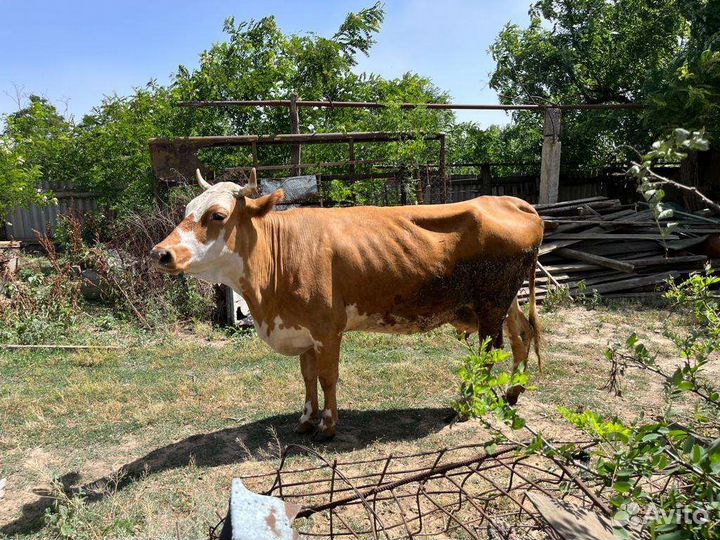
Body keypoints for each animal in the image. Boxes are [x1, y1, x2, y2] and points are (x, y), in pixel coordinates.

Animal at [151, 169, 544, 441]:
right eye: (187, 209)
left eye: (217, 215)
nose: (160, 253)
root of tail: (509, 201)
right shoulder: (303, 330)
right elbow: (308, 377)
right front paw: (306, 420)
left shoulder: (328, 329)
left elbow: (327, 378)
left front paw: (328, 426)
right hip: (505, 301)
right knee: (522, 335)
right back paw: (512, 393)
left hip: (491, 303)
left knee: (489, 352)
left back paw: (467, 405)